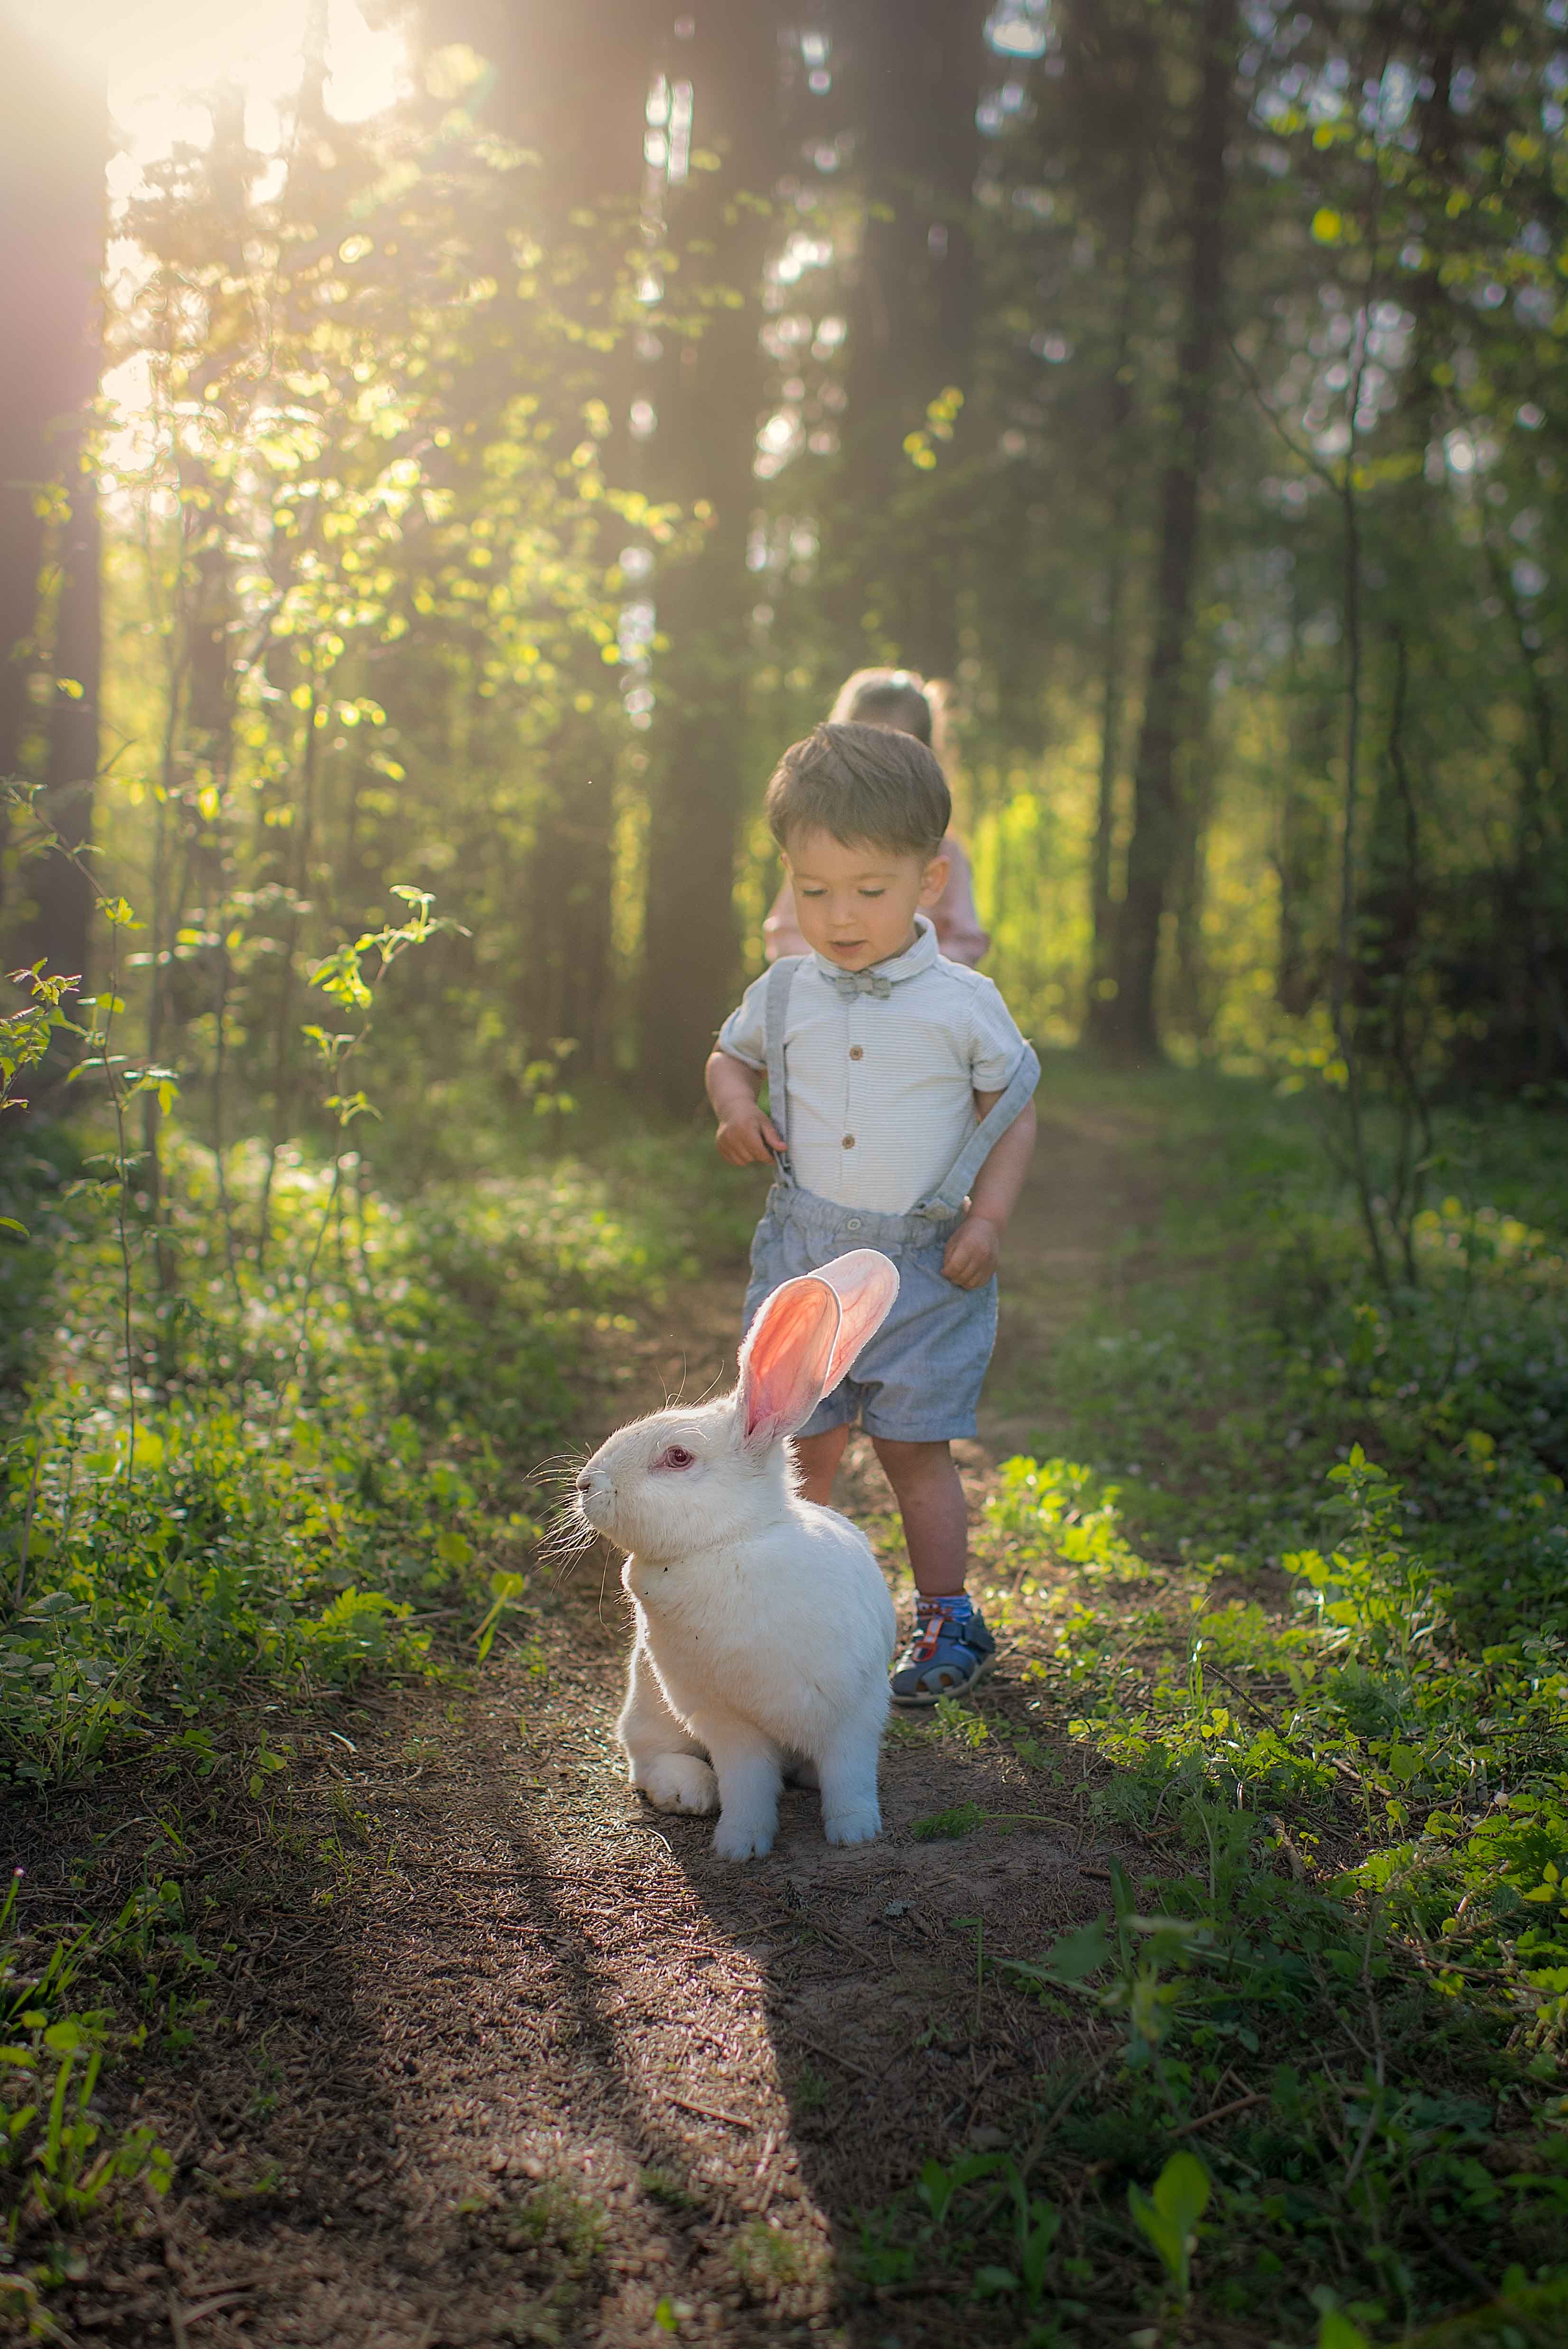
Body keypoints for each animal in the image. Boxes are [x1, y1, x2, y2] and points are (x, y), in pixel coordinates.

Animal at [572, 1259, 892, 1860]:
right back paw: (690, 1790)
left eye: (678, 1457)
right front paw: (739, 1844)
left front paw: (856, 1832)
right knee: (645, 1755)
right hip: (650, 1702)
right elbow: (746, 1785)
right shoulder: (727, 1723)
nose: (585, 1483)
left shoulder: (853, 1711)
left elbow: (851, 1777)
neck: (730, 1545)